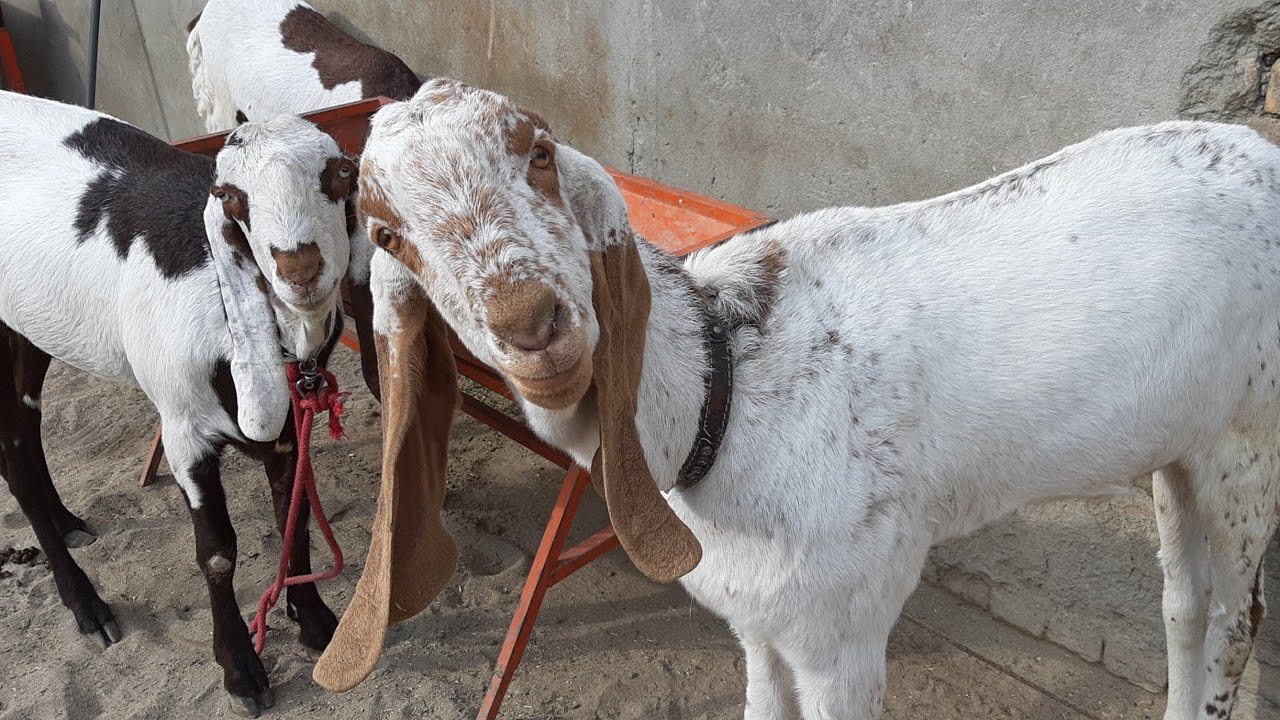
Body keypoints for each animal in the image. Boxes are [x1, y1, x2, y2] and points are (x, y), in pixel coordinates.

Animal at [0, 90, 368, 717]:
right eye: (231, 196)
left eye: (341, 172)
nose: (300, 268)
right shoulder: (182, 431)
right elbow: (217, 554)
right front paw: (240, 671)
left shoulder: (287, 429)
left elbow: (291, 518)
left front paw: (317, 623)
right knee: (15, 456)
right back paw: (86, 605)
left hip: (28, 330)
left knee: (26, 427)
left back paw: (69, 524)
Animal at [317, 79, 1280, 720]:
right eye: (387, 233)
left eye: (541, 157)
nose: (534, 325)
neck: (727, 391)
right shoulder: (760, 623)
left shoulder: (841, 632)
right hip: (1178, 448)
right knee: (1182, 603)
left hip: (1251, 440)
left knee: (1237, 618)